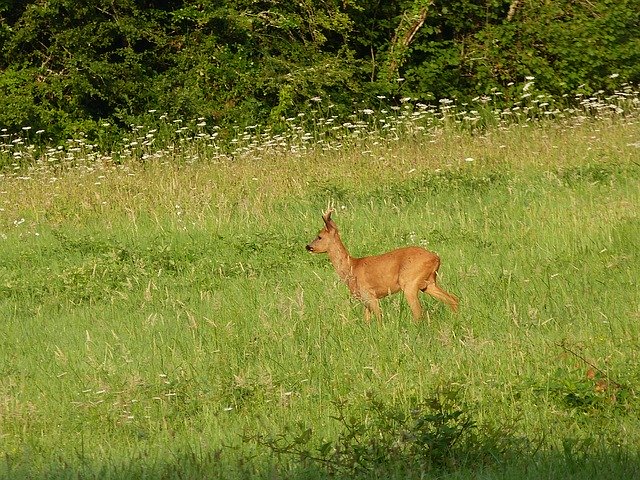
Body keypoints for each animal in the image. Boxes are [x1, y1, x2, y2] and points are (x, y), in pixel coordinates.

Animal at [304, 210, 458, 322]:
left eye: (319, 236)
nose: (308, 246)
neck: (351, 267)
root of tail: (436, 257)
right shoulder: (365, 299)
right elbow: (366, 321)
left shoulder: (370, 294)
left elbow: (379, 319)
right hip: (428, 283)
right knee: (453, 299)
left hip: (410, 282)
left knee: (418, 313)